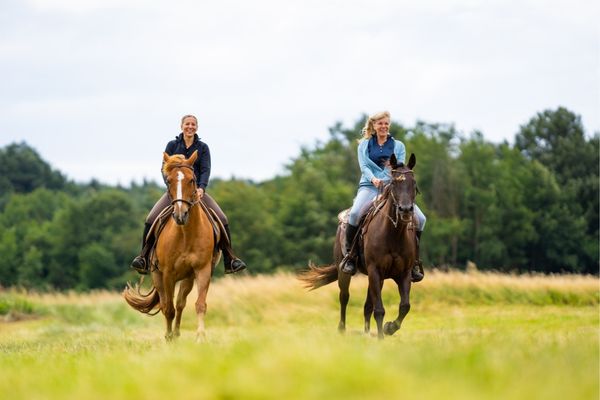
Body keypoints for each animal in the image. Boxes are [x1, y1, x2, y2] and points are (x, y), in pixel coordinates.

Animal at [122, 150, 220, 340]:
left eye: (192, 179)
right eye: (168, 180)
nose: (180, 214)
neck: (186, 234)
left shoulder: (202, 270)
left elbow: (199, 304)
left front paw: (200, 337)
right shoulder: (168, 274)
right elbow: (168, 308)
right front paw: (168, 339)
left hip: (187, 278)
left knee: (181, 303)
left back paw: (177, 333)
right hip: (158, 276)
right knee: (166, 304)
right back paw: (171, 335)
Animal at [298, 153, 418, 338]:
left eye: (413, 183)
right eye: (394, 183)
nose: (405, 210)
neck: (393, 234)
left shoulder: (403, 273)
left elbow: (404, 306)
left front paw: (389, 328)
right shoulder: (375, 270)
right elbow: (379, 309)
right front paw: (381, 337)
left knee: (367, 306)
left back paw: (367, 333)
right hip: (345, 272)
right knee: (344, 297)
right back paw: (342, 329)